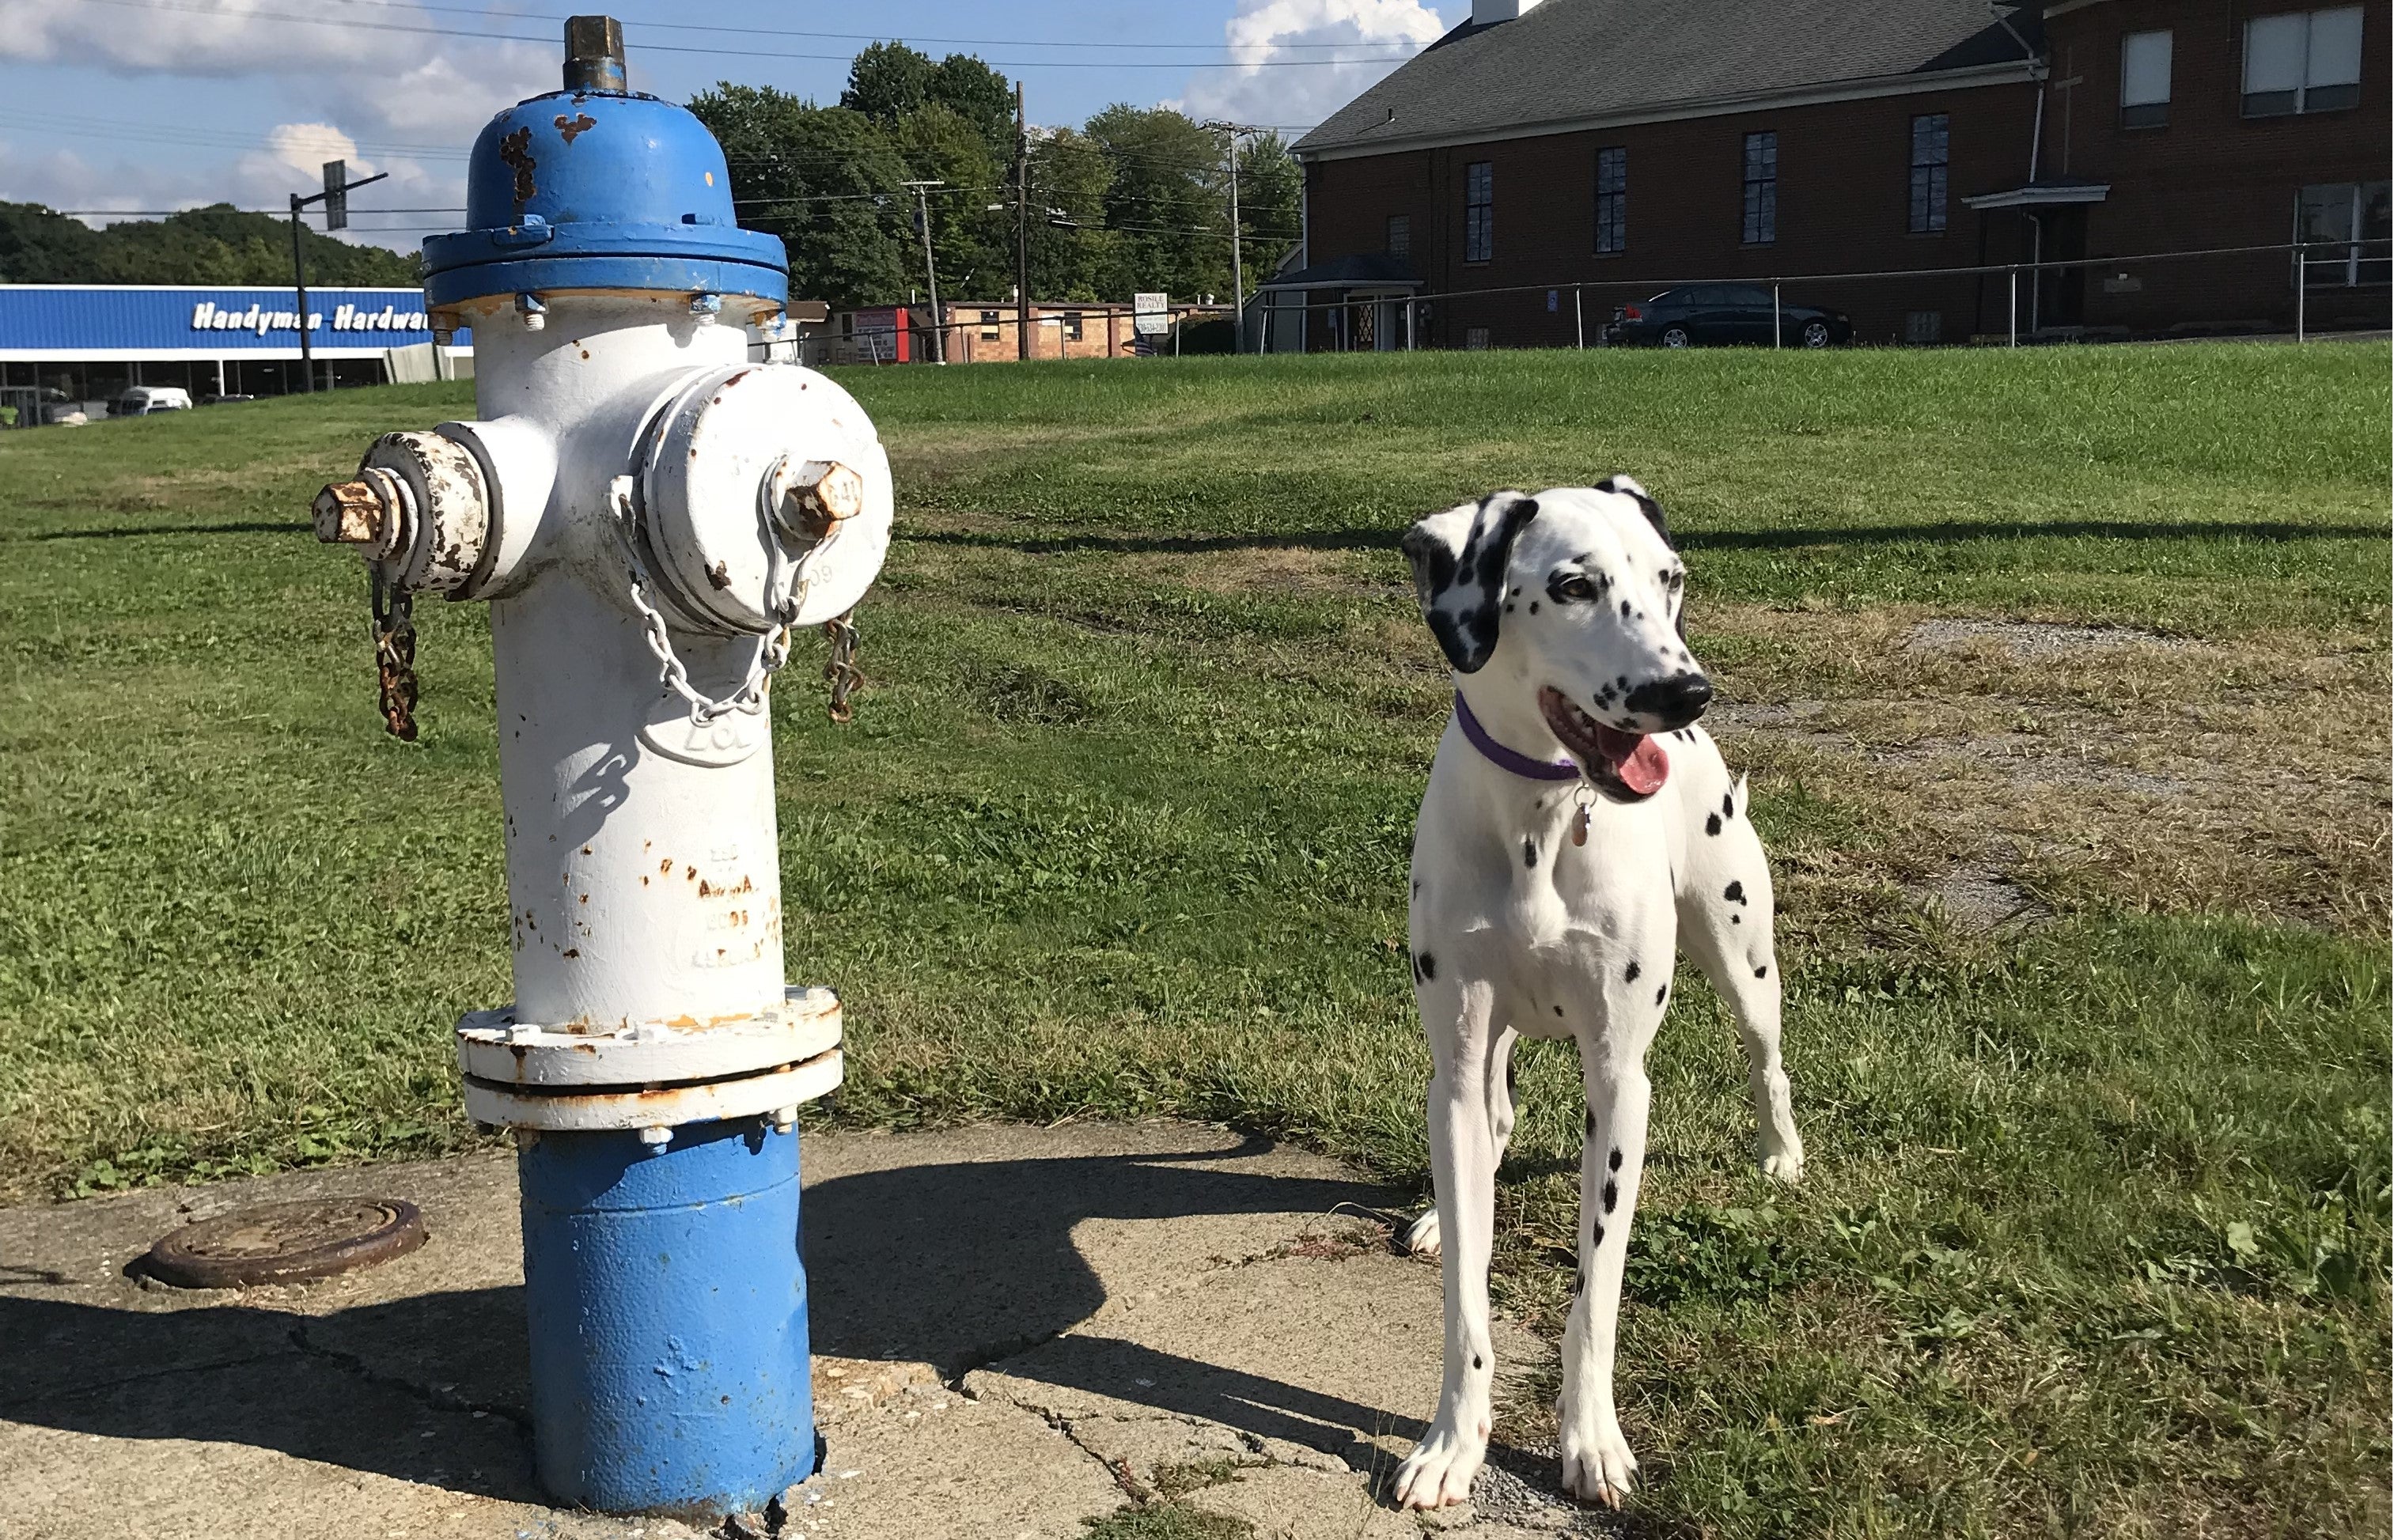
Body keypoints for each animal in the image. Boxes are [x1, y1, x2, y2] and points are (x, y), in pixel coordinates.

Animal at [1388, 481, 1800, 1513]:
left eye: (1670, 578)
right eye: (1573, 587)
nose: (1683, 692)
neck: (1542, 824)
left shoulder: (1618, 1082)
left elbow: (1595, 1294)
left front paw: (1591, 1441)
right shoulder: (1456, 1059)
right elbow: (1467, 1293)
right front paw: (1451, 1442)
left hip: (1742, 957)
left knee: (1766, 1062)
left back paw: (1782, 1155)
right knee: (1493, 1124)